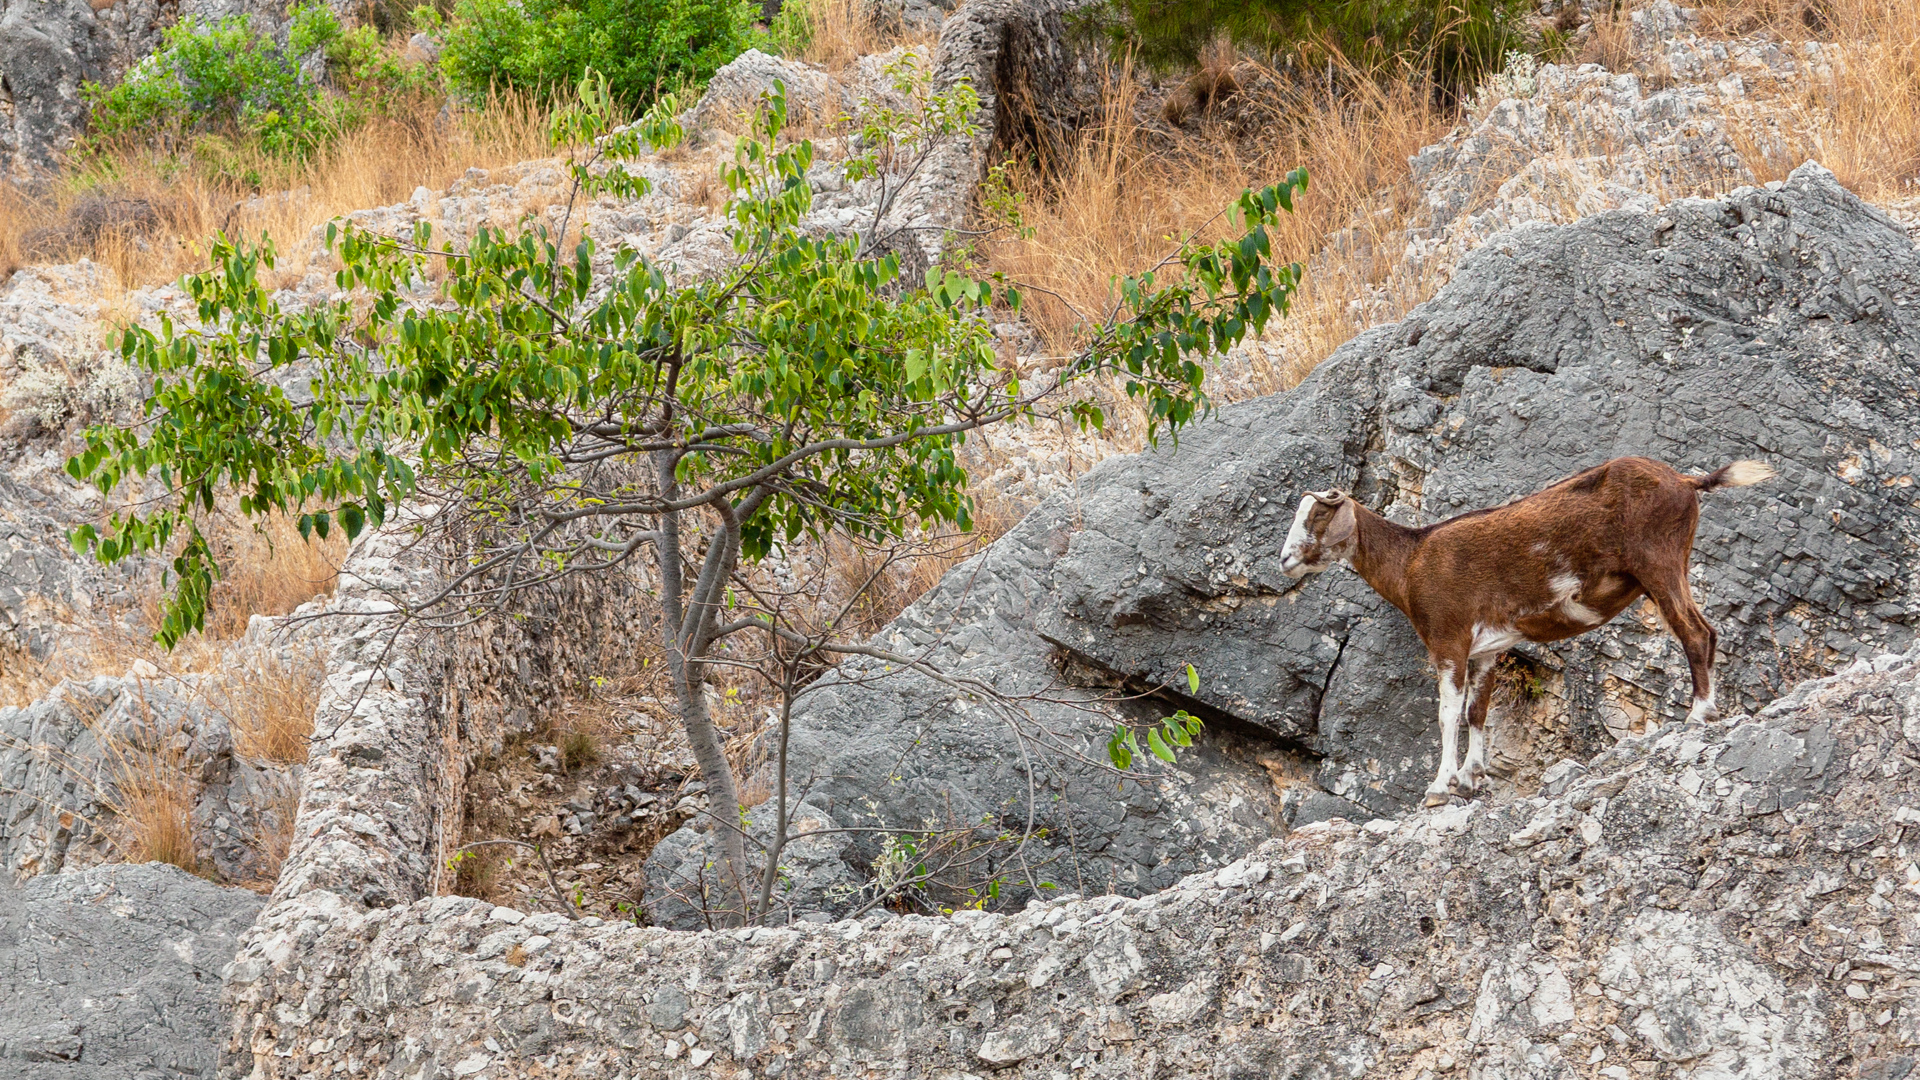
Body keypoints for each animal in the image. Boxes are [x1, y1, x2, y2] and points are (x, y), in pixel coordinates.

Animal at [1279, 456, 1775, 807]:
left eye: (1317, 517)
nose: (1285, 560)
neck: (1411, 562)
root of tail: (1686, 482)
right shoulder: (1485, 649)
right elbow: (1477, 711)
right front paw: (1471, 778)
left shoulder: (1448, 639)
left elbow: (1447, 714)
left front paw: (1439, 787)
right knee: (1707, 631)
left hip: (1659, 561)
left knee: (1696, 633)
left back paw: (1700, 714)